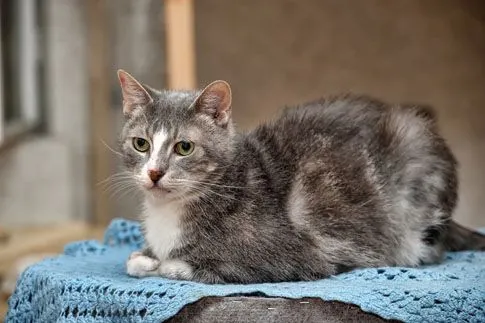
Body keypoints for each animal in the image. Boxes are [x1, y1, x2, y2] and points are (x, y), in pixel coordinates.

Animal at [116, 69, 484, 284]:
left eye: (184, 147)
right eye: (141, 143)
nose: (154, 172)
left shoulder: (294, 255)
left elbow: (189, 265)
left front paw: (167, 264)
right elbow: (135, 261)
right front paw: (143, 257)